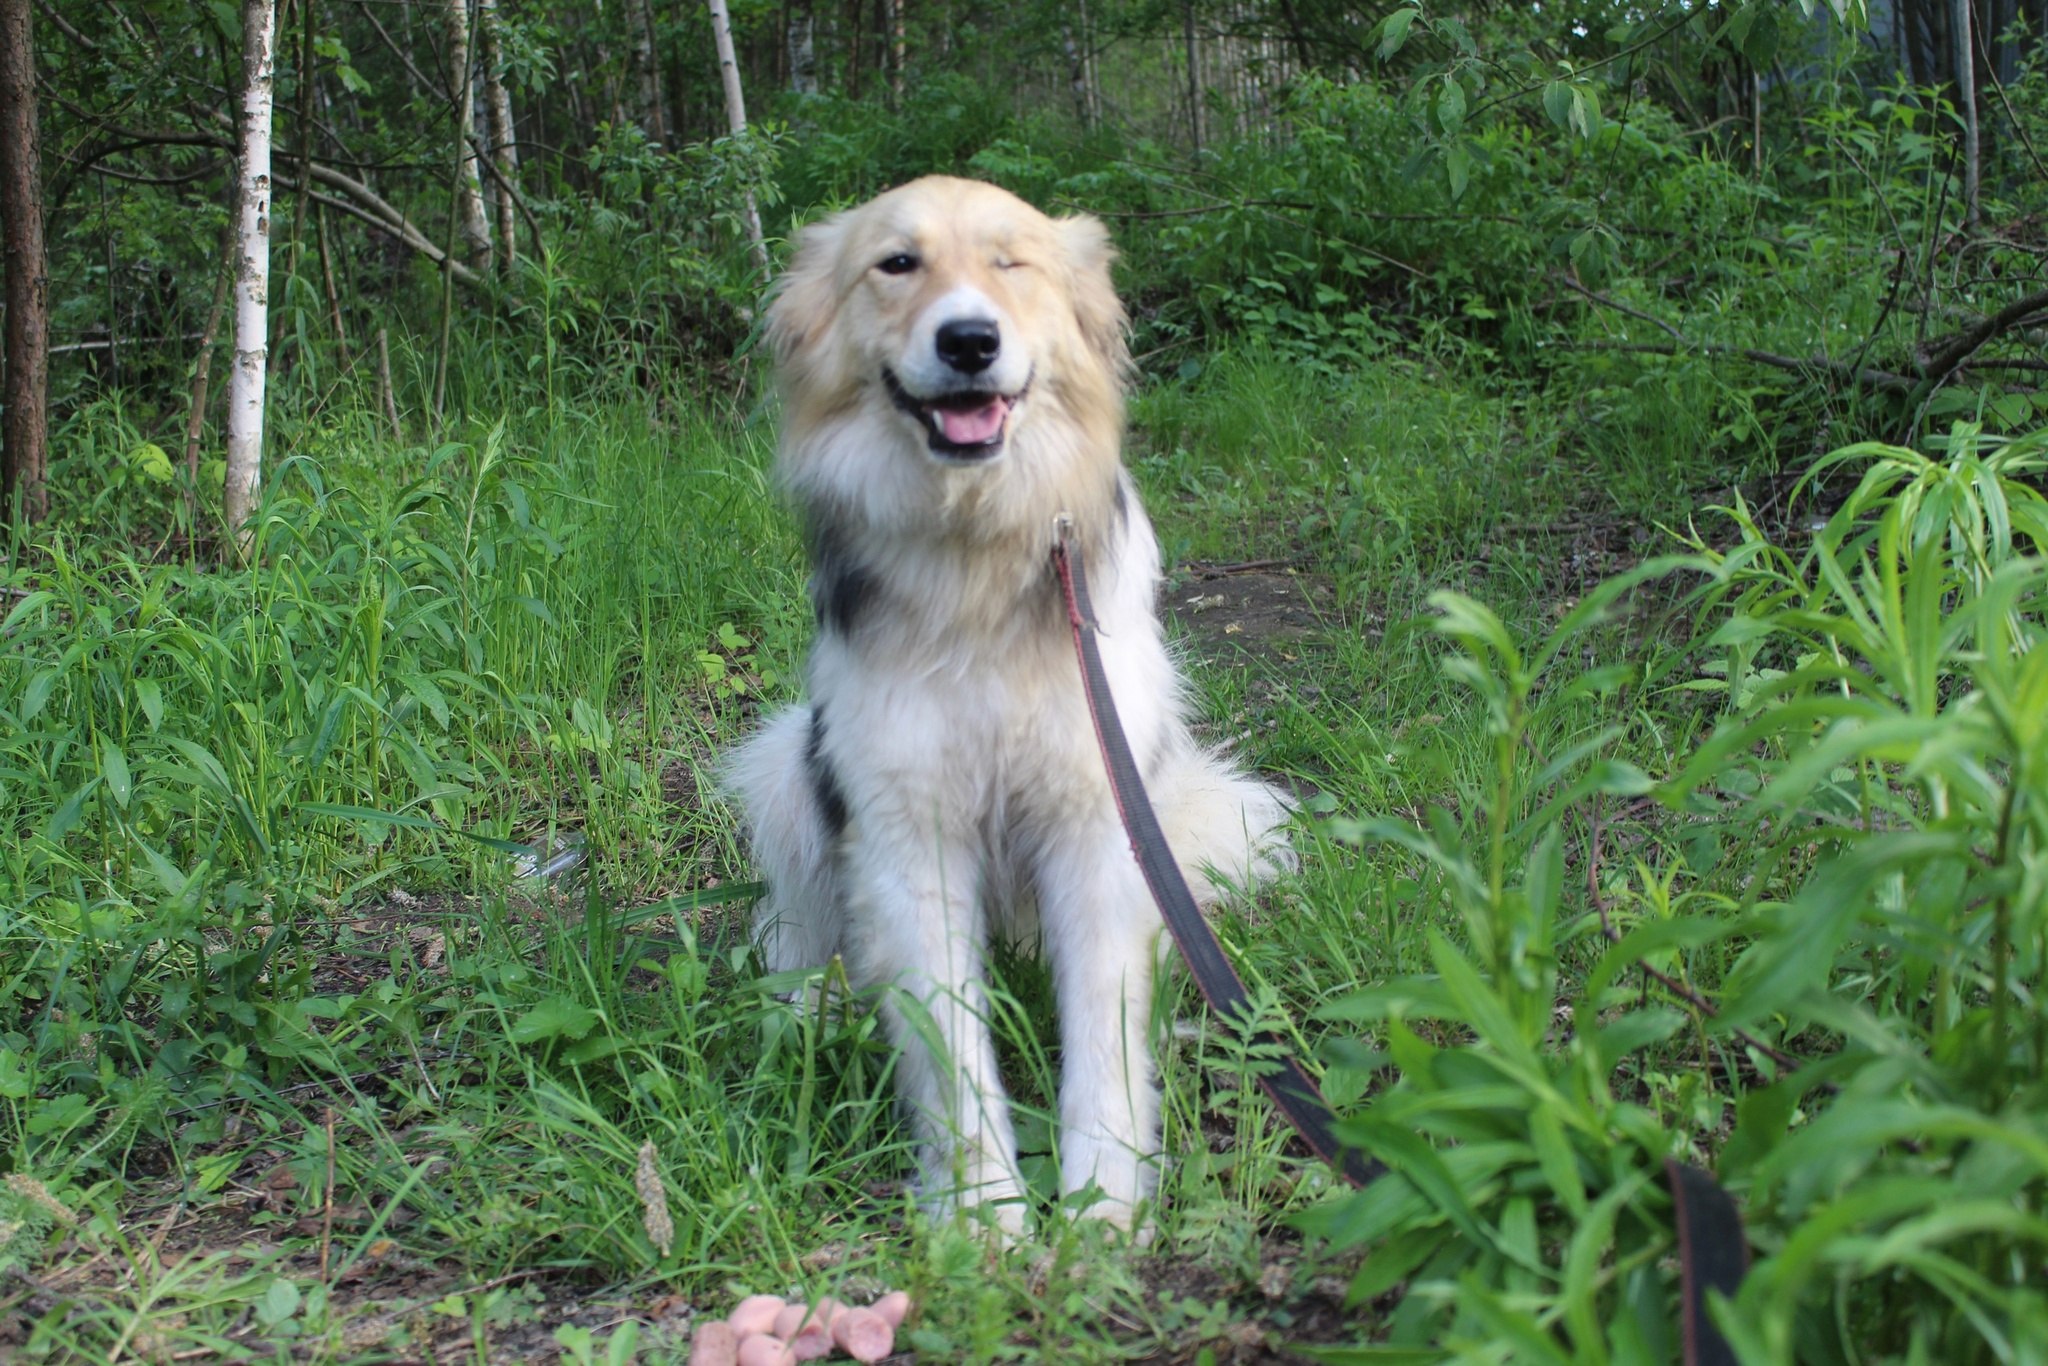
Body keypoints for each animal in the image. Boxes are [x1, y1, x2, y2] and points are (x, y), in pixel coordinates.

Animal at [729, 176, 1286, 1236]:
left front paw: (1102, 1202)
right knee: (798, 928)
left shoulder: (1098, 826)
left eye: (1011, 263)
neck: (974, 558)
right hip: (786, 765)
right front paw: (983, 1217)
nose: (969, 342)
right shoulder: (906, 839)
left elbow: (1103, 1040)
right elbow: (949, 1053)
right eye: (896, 264)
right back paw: (808, 1007)